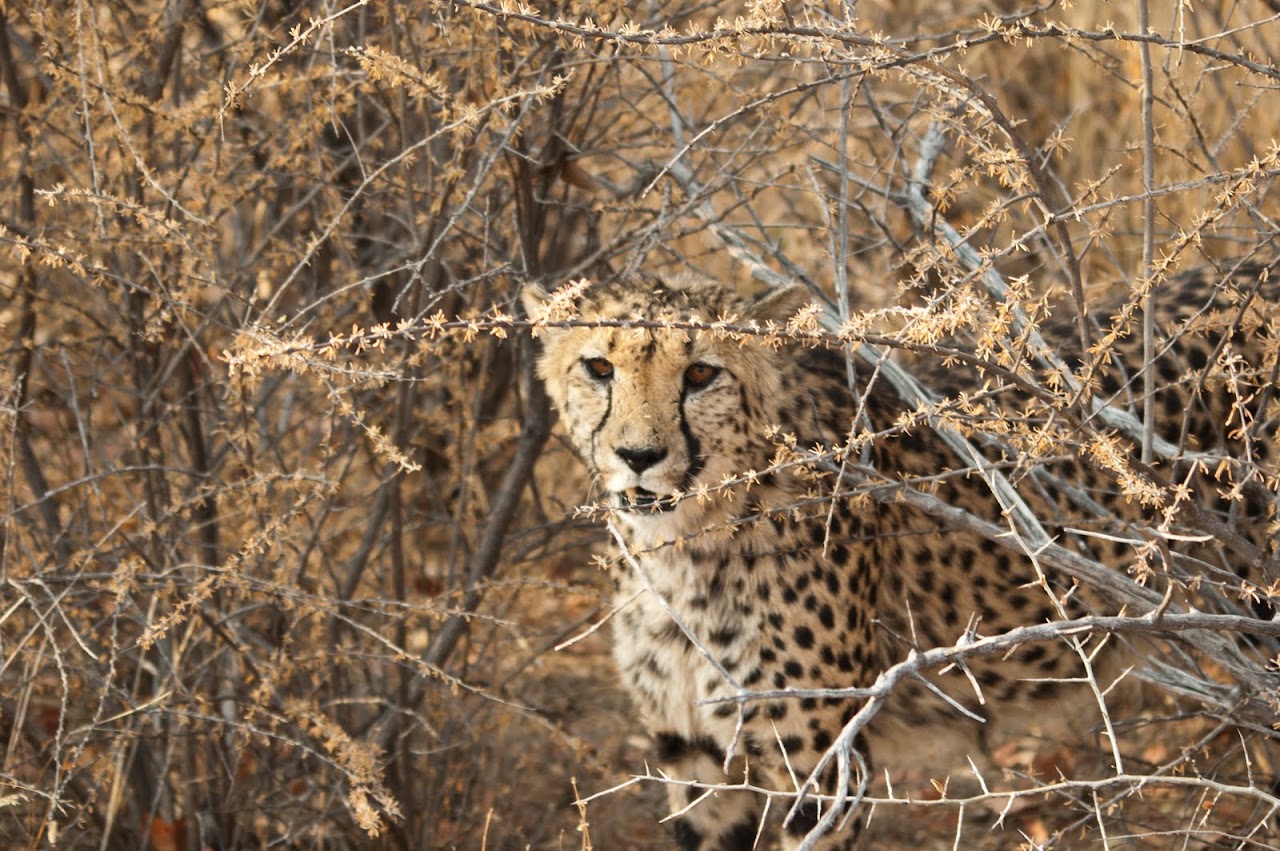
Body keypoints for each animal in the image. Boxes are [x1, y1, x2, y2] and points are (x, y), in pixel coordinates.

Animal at [522, 261, 1280, 850]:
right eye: (599, 367)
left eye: (702, 372)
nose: (638, 456)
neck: (682, 544)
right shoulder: (696, 761)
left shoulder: (822, 773)